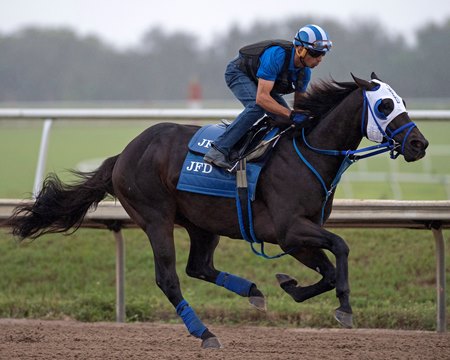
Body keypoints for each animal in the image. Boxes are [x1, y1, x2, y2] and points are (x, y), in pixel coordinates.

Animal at [7, 74, 428, 348]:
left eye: (404, 103)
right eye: (385, 106)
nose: (419, 144)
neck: (305, 155)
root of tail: (123, 155)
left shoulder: (295, 239)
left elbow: (325, 270)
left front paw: (289, 285)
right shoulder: (290, 230)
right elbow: (341, 247)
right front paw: (345, 307)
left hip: (202, 224)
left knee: (200, 267)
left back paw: (253, 291)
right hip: (156, 218)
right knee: (169, 278)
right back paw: (205, 333)